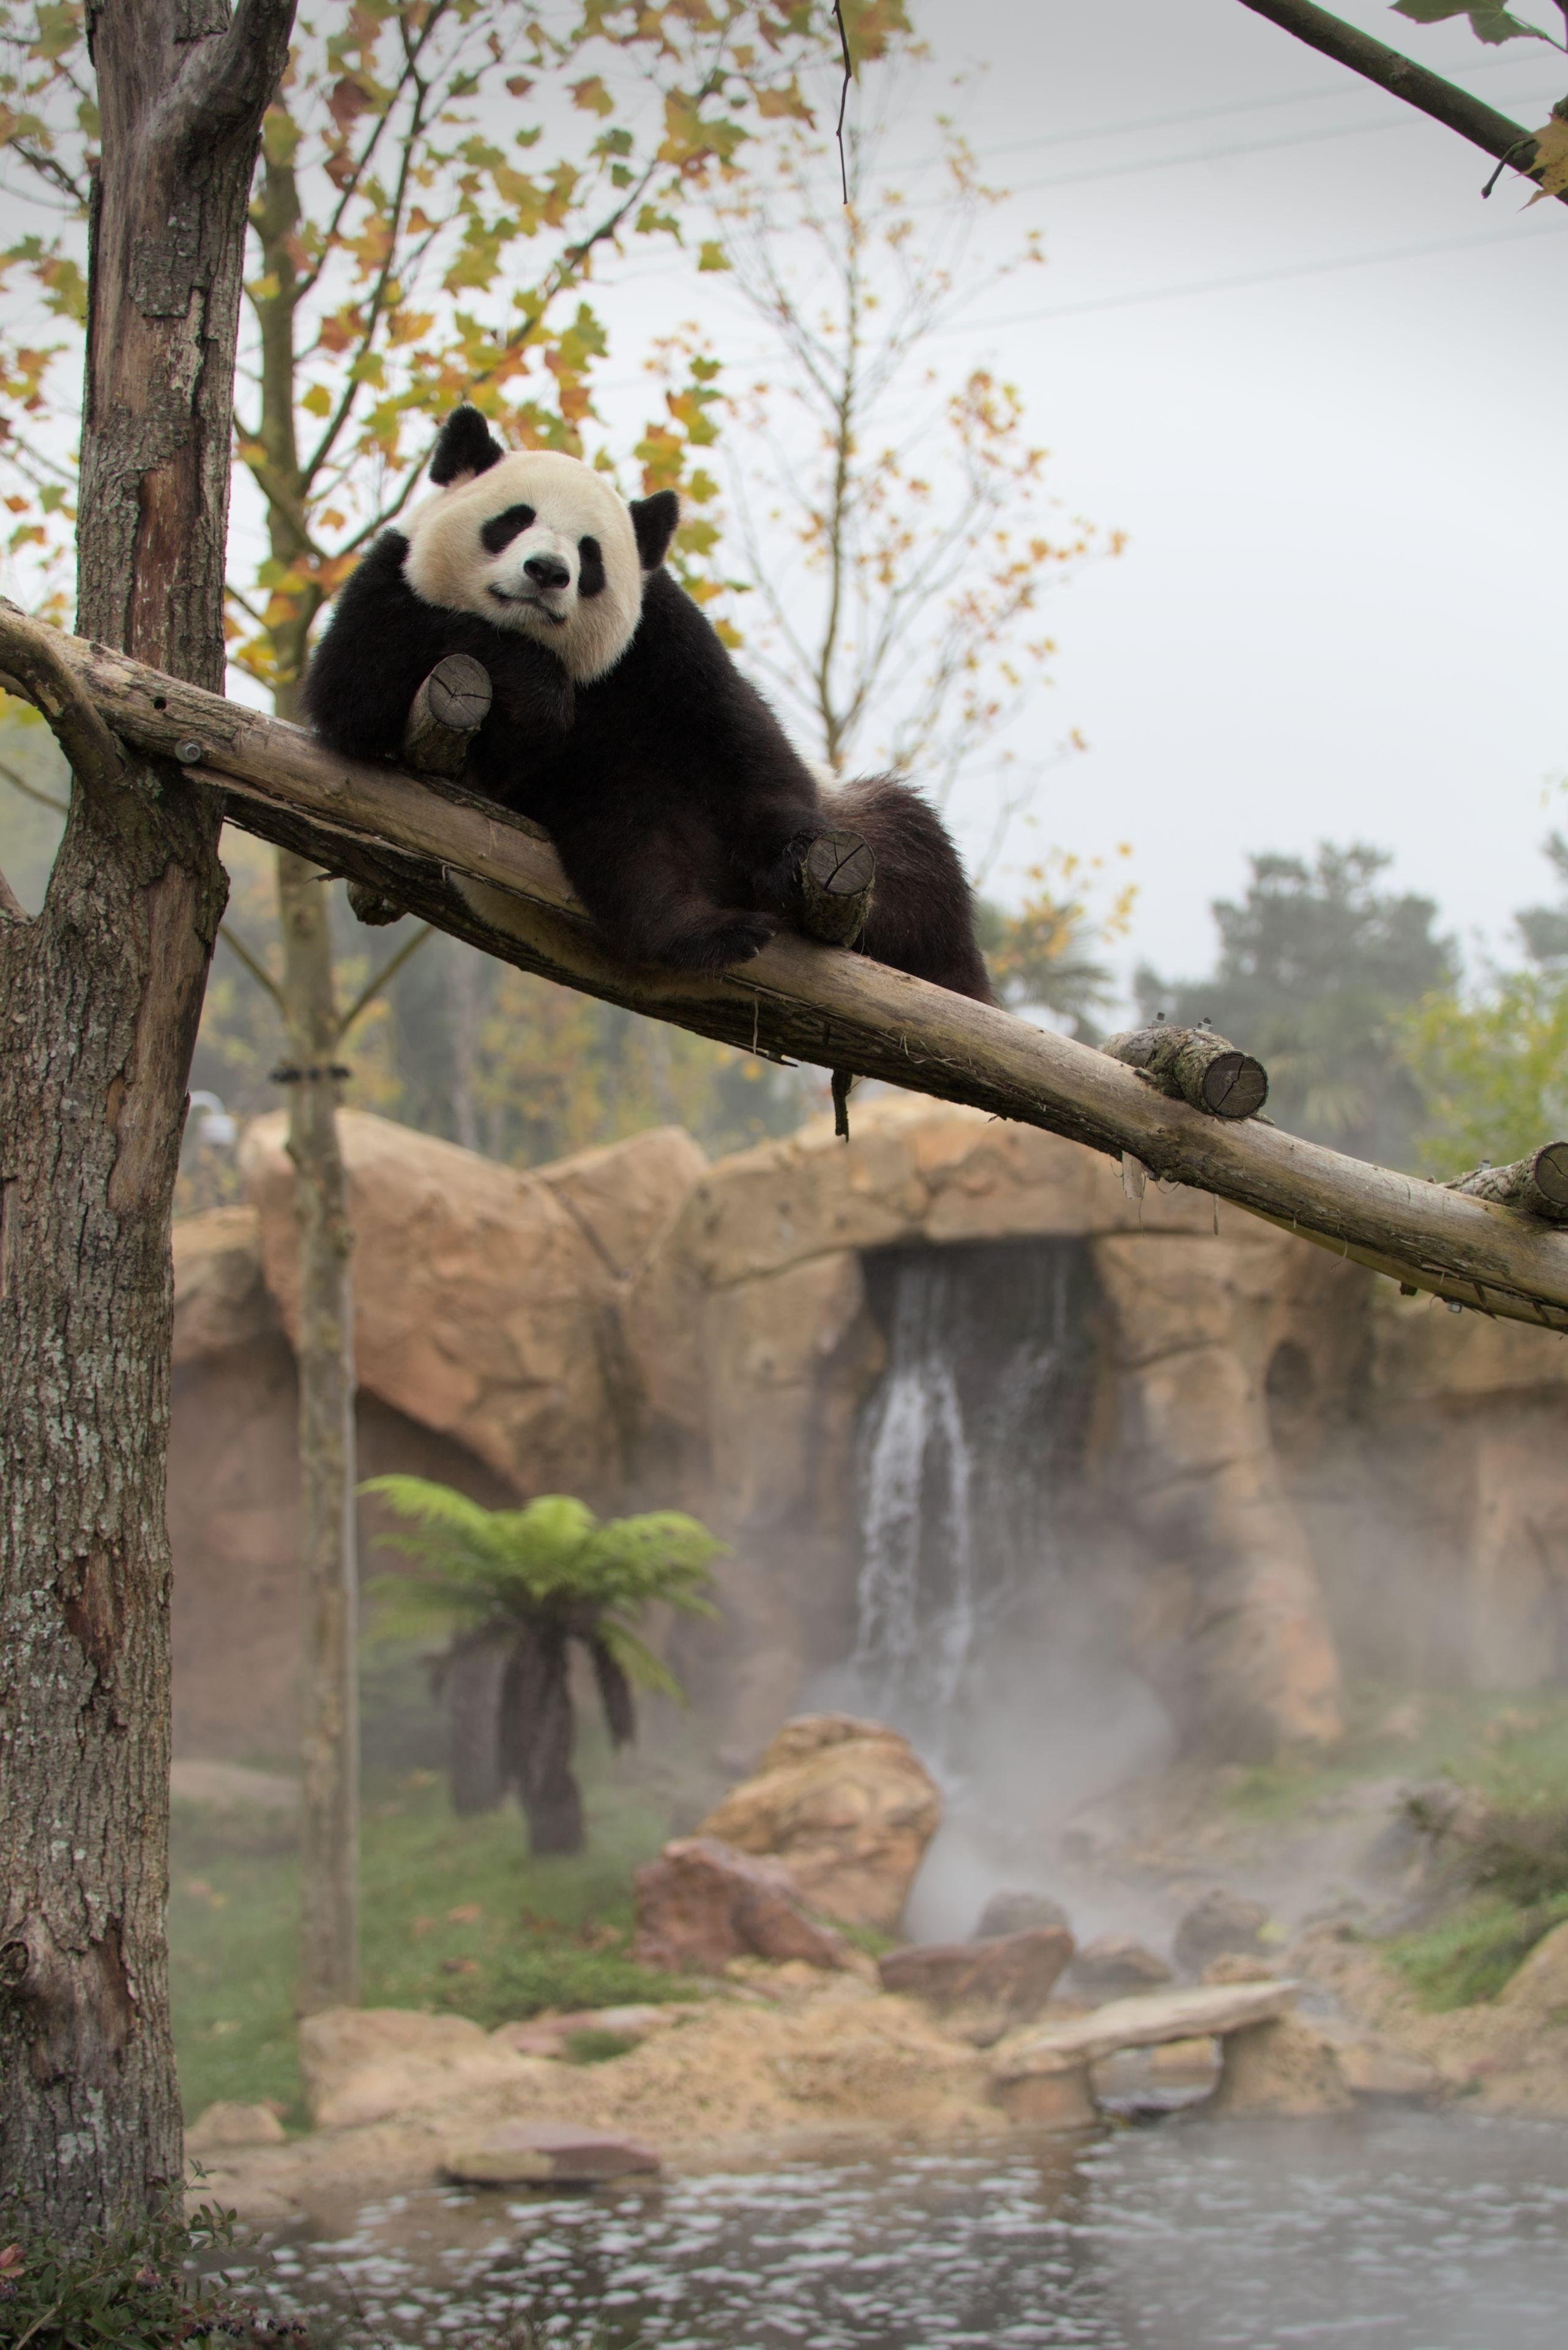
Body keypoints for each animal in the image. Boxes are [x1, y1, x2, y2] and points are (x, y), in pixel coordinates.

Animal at [304, 403, 994, 1004]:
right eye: (514, 519)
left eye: (589, 553)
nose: (547, 572)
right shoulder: (391, 582)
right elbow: (355, 688)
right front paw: (536, 694)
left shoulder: (660, 637)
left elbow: (746, 747)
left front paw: (798, 861)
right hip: (597, 817)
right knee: (633, 858)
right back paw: (710, 934)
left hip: (862, 833)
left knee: (912, 853)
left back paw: (949, 976)